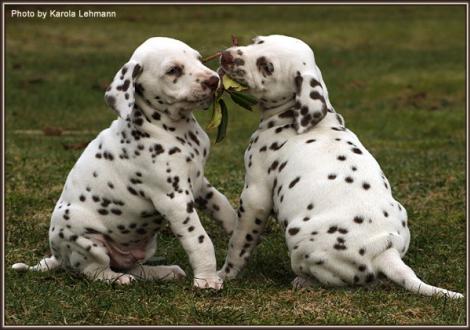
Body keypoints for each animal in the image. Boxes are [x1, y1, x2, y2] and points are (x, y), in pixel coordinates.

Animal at [12, 36, 237, 288]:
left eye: (198, 59)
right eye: (173, 70)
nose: (214, 80)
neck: (176, 130)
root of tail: (57, 256)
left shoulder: (199, 184)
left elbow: (222, 205)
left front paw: (237, 229)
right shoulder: (175, 199)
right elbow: (199, 239)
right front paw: (207, 280)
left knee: (132, 266)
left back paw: (163, 271)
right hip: (86, 241)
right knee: (94, 270)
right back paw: (119, 279)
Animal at [218, 34, 462, 300]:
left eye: (267, 66)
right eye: (256, 41)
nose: (226, 56)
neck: (298, 119)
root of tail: (384, 252)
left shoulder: (255, 196)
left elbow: (239, 243)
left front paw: (223, 274)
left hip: (299, 237)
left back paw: (303, 281)